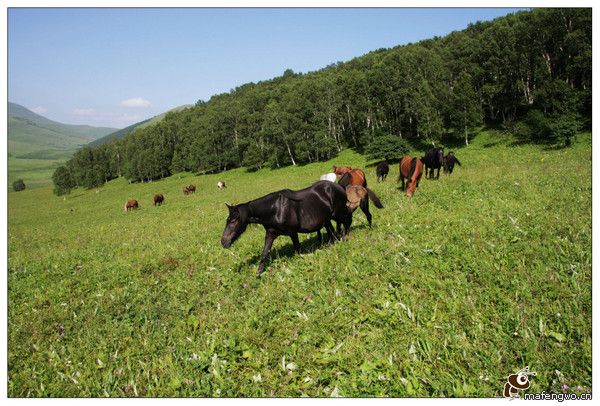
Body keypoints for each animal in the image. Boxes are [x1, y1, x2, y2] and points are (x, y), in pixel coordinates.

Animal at [220, 181, 352, 276]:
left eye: (233, 221)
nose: (223, 242)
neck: (275, 210)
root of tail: (339, 186)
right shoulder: (270, 234)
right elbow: (265, 253)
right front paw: (258, 274)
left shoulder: (293, 232)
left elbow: (298, 249)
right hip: (327, 218)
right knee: (332, 230)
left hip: (337, 214)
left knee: (347, 220)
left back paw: (345, 237)